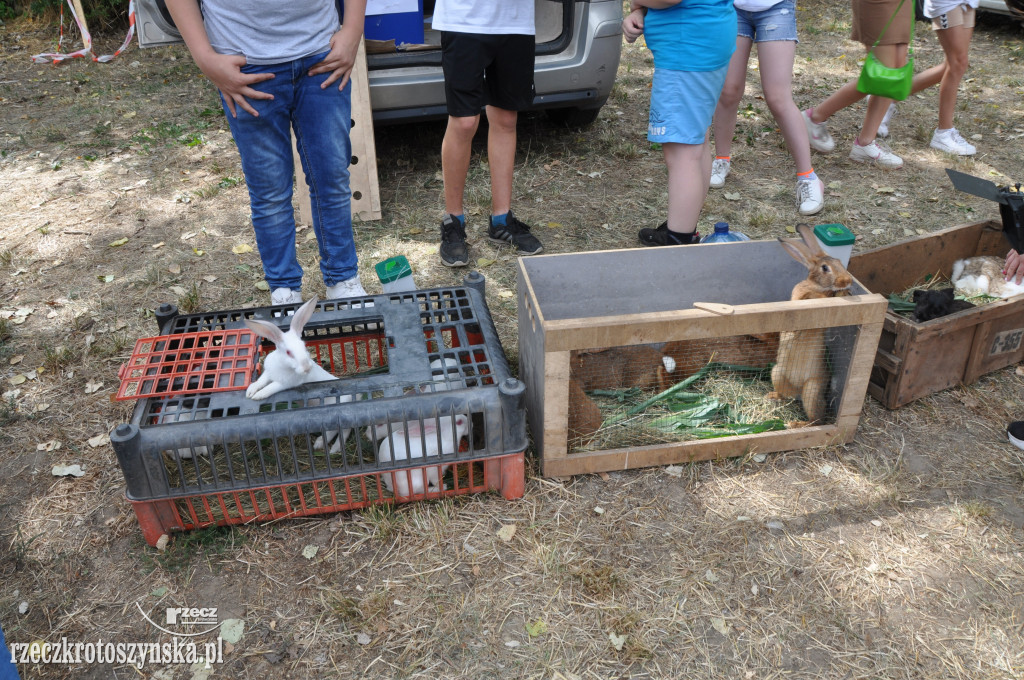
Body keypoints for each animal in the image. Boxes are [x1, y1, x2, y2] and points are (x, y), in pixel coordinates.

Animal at [770, 223, 851, 426]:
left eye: (840, 262)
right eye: (825, 268)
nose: (847, 281)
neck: (818, 286)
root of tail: (799, 391)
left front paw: (842, 293)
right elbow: (810, 298)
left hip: (811, 389)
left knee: (816, 418)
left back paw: (794, 422)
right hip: (778, 373)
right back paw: (776, 400)